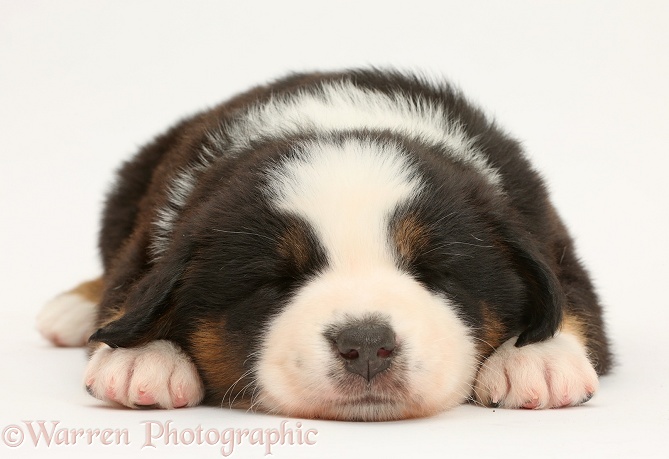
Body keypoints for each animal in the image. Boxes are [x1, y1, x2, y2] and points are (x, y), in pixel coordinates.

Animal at [36, 69, 612, 420]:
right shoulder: (155, 236)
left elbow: (569, 299)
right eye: (276, 283)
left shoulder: (542, 232)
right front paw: (143, 358)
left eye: (434, 273)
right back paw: (70, 309)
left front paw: (537, 359)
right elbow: (131, 292)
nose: (367, 346)